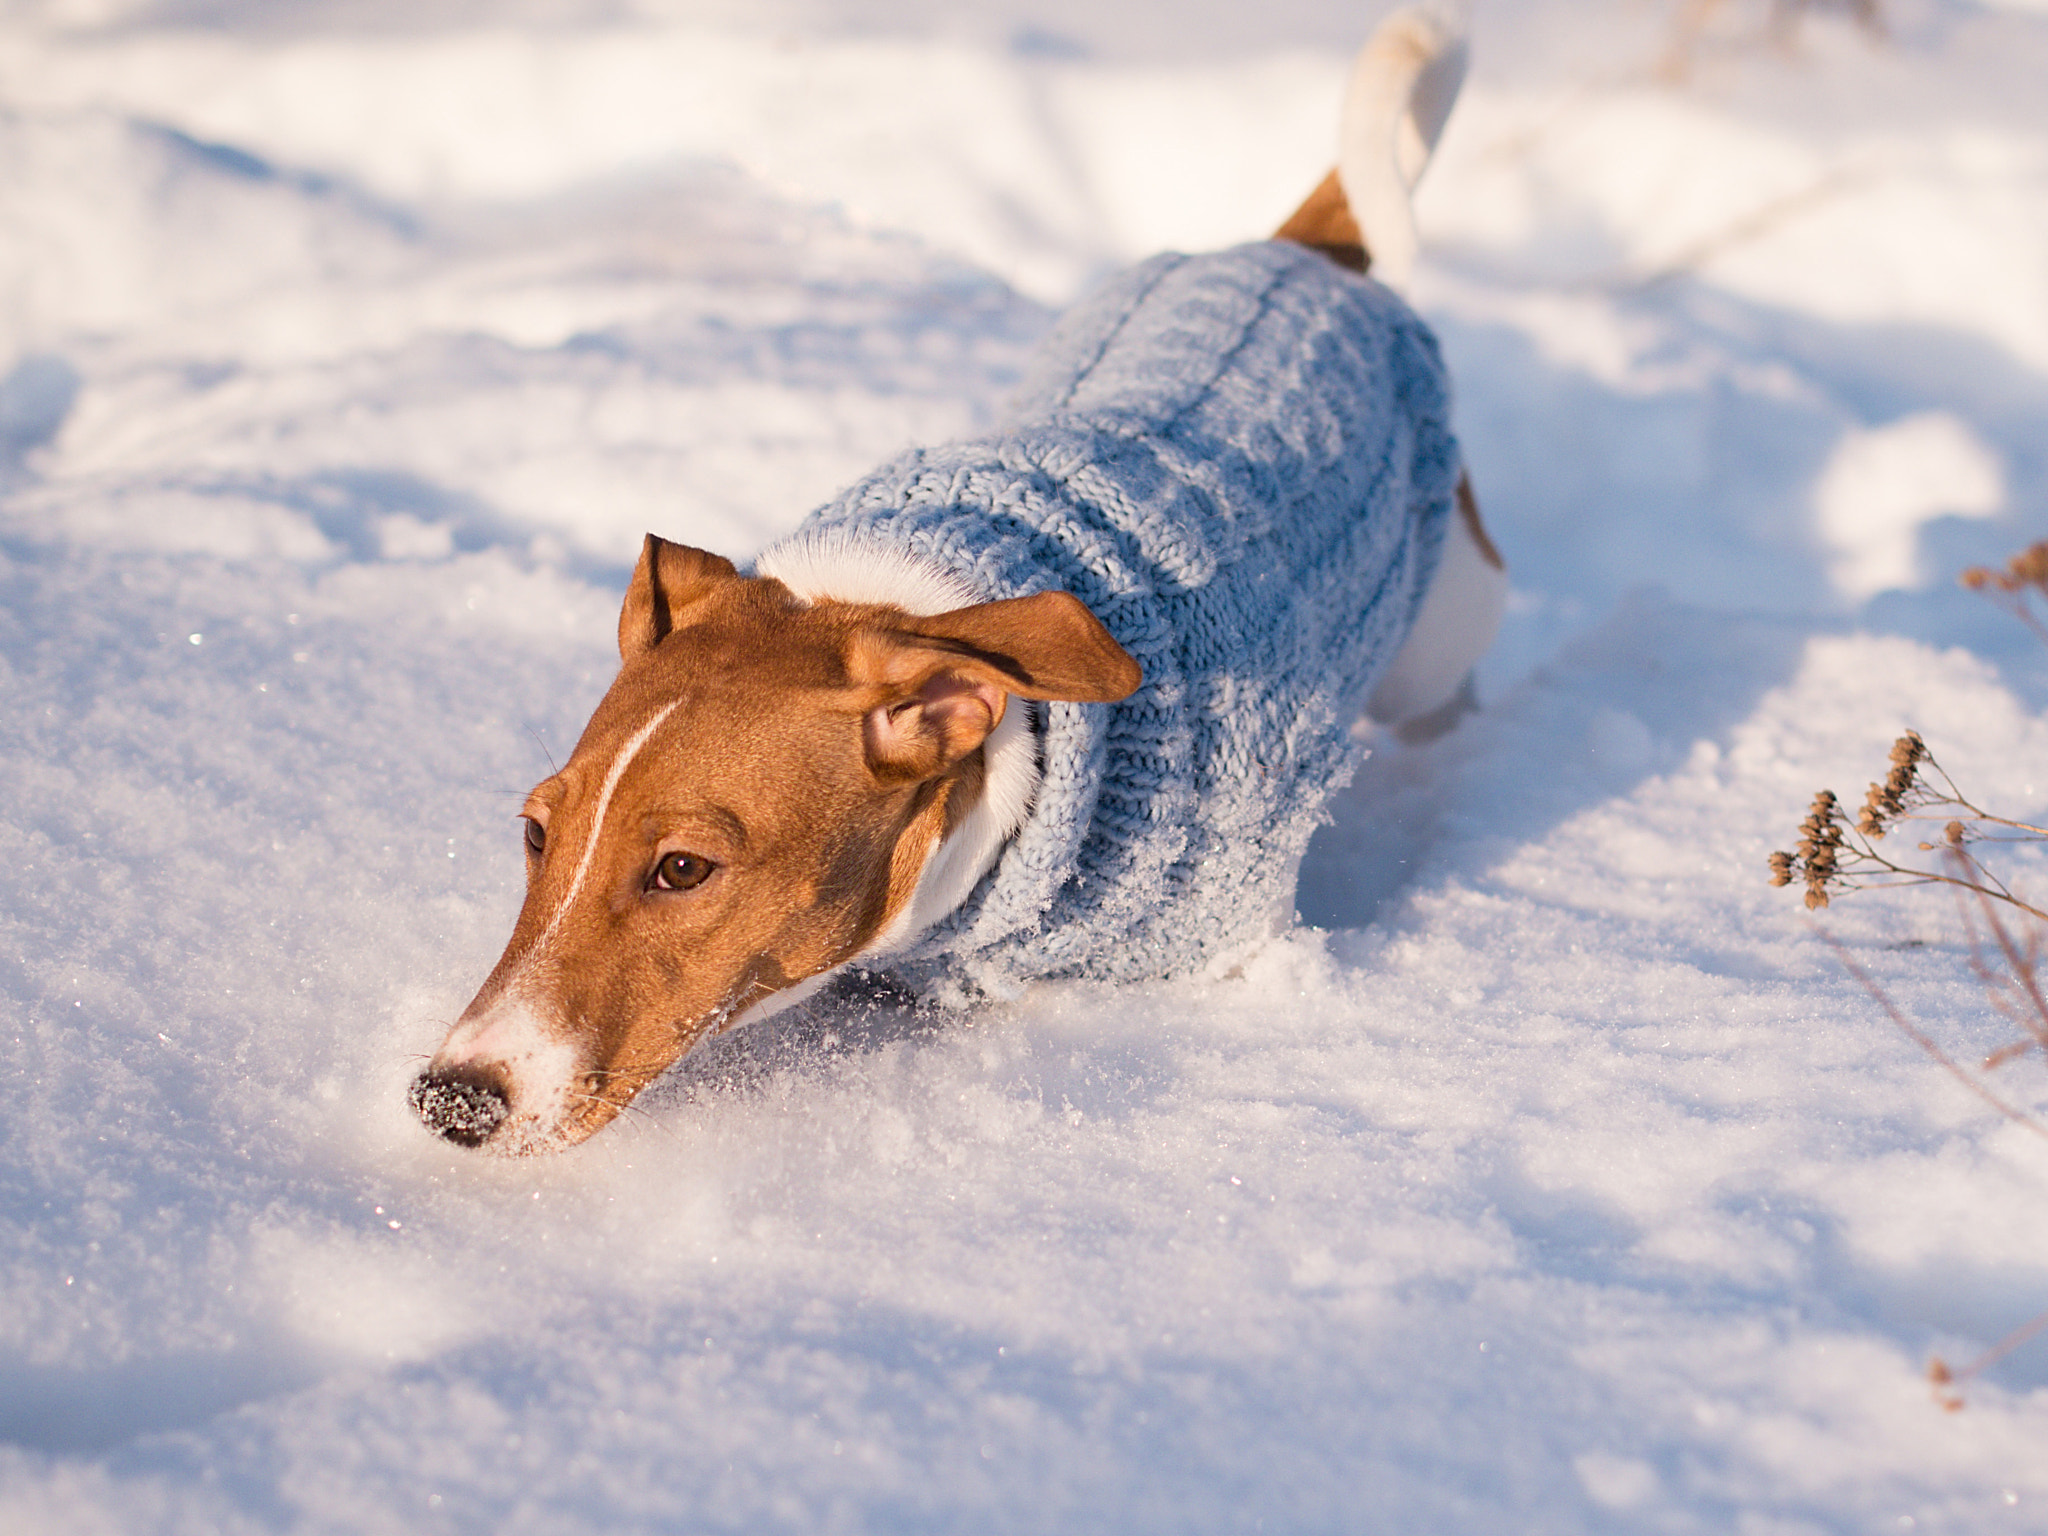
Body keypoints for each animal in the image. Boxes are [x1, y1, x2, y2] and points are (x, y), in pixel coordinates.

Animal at [411, 9, 1507, 1155]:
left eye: (682, 869)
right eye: (537, 832)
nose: (451, 1099)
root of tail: (1303, 256)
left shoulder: (1229, 949)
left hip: (1441, 629)